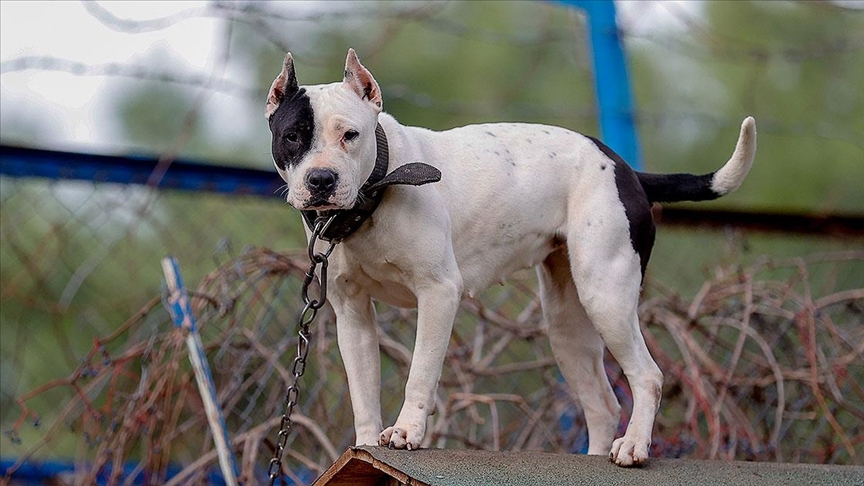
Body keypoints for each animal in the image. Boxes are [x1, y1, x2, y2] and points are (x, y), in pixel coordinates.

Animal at [264, 49, 756, 468]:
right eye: (292, 136)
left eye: (351, 135)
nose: (321, 179)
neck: (376, 190)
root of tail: (625, 169)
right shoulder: (352, 313)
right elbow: (363, 389)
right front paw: (365, 447)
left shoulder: (438, 294)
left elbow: (420, 372)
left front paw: (406, 433)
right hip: (567, 324)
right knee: (601, 403)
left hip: (607, 297)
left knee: (648, 376)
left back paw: (633, 447)